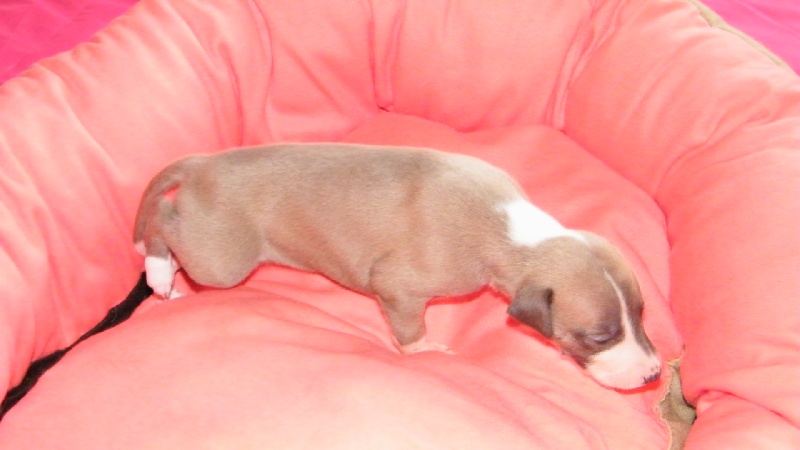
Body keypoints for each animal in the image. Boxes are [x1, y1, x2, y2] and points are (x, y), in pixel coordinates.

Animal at [133, 143, 661, 390]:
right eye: (597, 337)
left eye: (641, 315)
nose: (654, 376)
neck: (519, 231)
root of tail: (202, 163)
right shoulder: (399, 288)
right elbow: (409, 328)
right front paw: (423, 350)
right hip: (221, 259)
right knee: (164, 221)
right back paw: (158, 270)